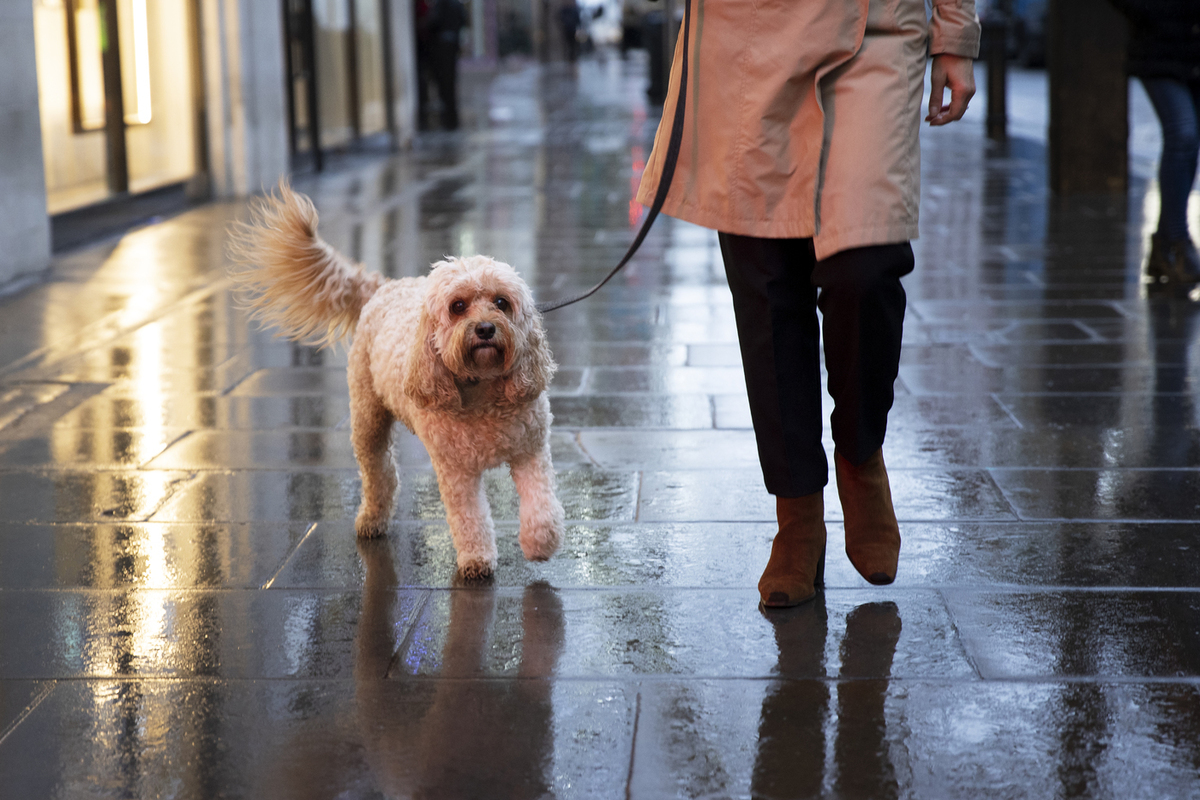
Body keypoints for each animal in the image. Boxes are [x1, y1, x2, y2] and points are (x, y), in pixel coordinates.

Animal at [231, 184, 564, 578]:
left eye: (501, 302)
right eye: (458, 306)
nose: (485, 329)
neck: (482, 389)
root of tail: (386, 286)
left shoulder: (531, 450)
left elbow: (541, 504)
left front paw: (541, 542)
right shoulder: (456, 471)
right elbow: (469, 517)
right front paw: (476, 559)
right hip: (367, 419)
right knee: (381, 473)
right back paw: (372, 519)